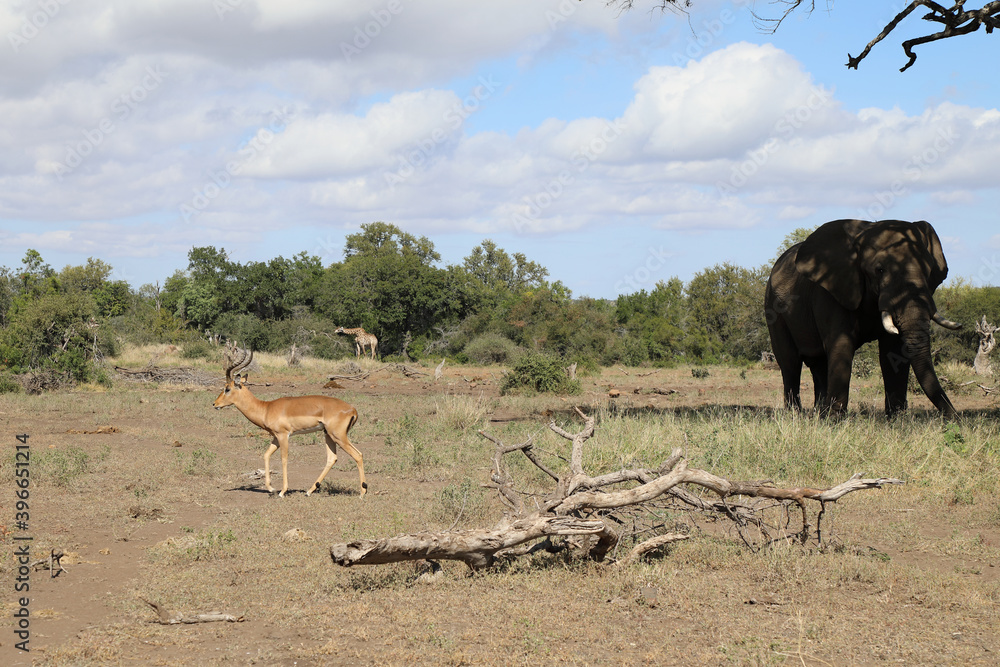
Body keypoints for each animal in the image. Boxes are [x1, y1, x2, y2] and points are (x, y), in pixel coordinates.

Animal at [764, 219, 961, 418]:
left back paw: (819, 413)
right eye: (879, 270)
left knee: (818, 363)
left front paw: (896, 419)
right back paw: (795, 415)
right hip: (773, 308)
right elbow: (841, 345)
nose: (956, 418)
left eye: (929, 271)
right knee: (790, 363)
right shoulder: (831, 292)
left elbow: (893, 351)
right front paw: (834, 421)